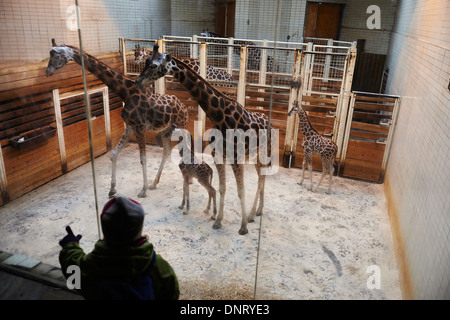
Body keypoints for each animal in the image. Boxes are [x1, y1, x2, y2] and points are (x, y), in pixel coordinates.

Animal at [45, 39, 186, 198]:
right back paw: (154, 183)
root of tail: (184, 106)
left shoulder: (140, 128)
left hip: (181, 127)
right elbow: (113, 155)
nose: (47, 71)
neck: (125, 92)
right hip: (165, 130)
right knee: (166, 151)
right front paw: (112, 189)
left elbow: (143, 159)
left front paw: (142, 190)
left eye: (55, 54)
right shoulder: (130, 127)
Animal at [136, 44, 270, 235]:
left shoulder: (236, 160)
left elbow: (240, 191)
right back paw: (257, 212)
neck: (219, 115)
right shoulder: (219, 157)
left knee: (262, 178)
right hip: (255, 155)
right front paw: (218, 220)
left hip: (263, 153)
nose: (138, 80)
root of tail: (267, 119)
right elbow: (222, 188)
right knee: (261, 177)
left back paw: (252, 215)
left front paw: (243, 227)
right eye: (146, 60)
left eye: (154, 65)